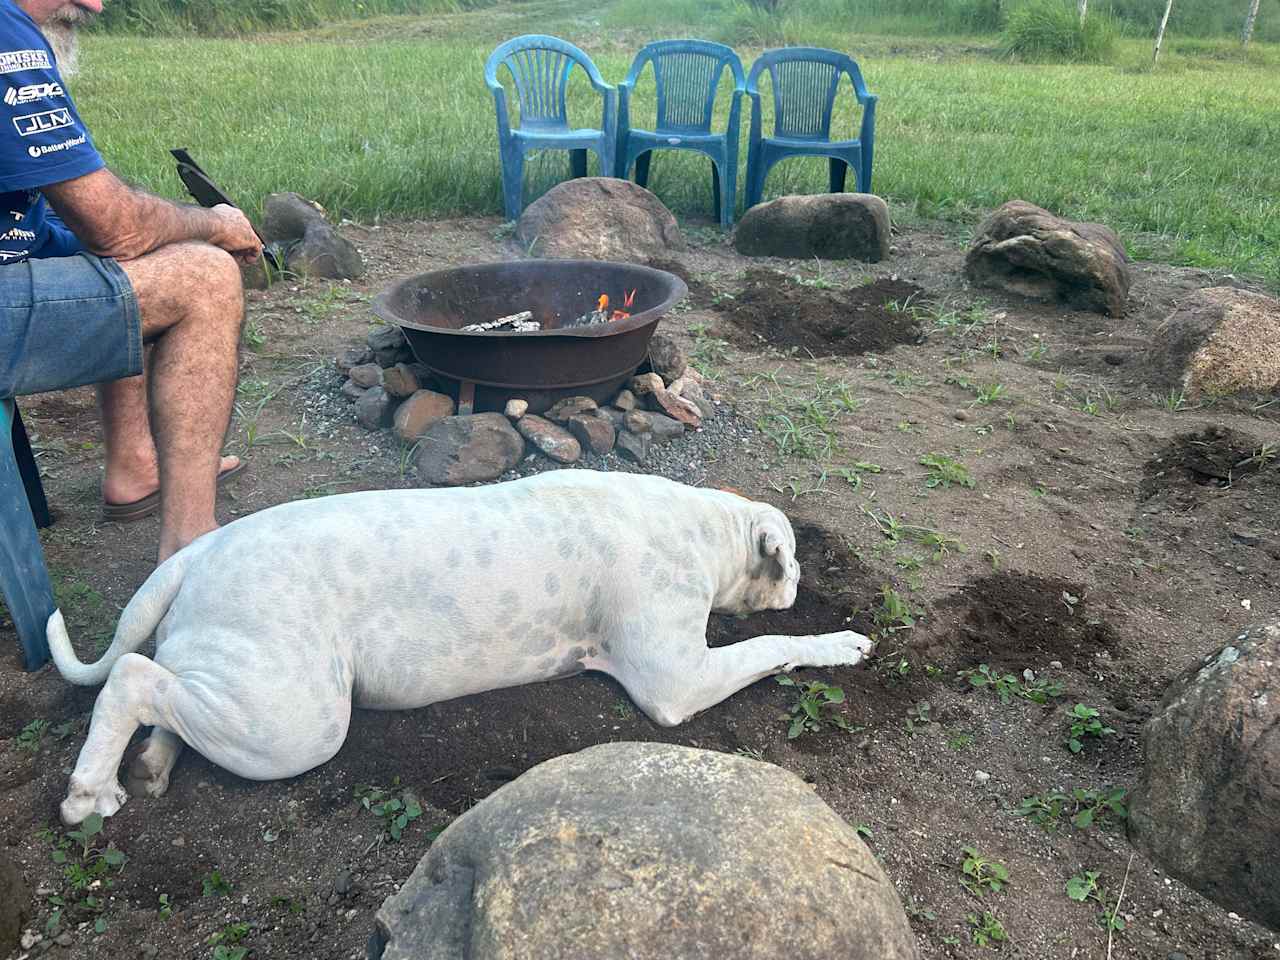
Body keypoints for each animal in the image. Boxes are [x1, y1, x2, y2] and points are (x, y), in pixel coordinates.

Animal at [45, 471, 875, 824]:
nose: (801, 580)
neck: (700, 526)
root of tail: (199, 551)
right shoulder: (678, 682)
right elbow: (774, 643)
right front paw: (841, 639)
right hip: (295, 724)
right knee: (130, 677)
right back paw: (89, 790)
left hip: (240, 688)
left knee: (164, 688)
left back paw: (153, 758)